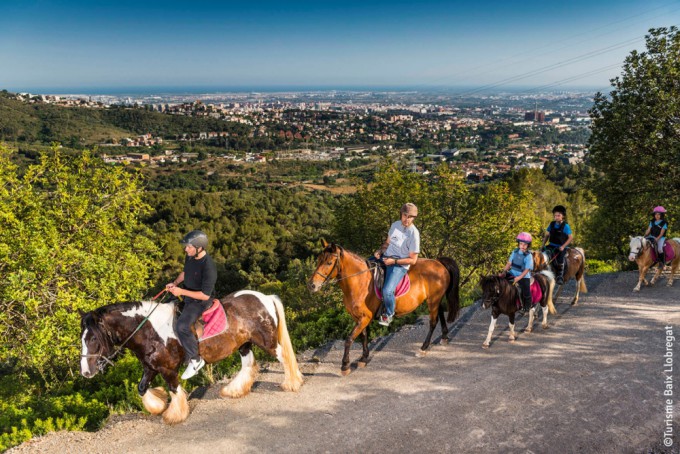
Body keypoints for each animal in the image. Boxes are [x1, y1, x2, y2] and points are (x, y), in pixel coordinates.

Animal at [80, 290, 302, 426]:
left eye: (93, 338)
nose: (86, 372)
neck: (148, 329)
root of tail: (265, 297)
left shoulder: (168, 369)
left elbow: (175, 390)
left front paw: (174, 415)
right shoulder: (150, 368)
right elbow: (141, 388)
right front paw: (158, 405)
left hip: (267, 342)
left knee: (284, 357)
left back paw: (292, 383)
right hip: (244, 344)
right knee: (248, 365)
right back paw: (234, 391)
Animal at [310, 239, 462, 374]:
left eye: (329, 262)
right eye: (318, 260)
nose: (312, 285)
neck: (360, 282)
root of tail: (438, 262)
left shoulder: (365, 317)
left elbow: (349, 339)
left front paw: (345, 366)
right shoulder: (358, 317)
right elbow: (363, 336)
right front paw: (363, 358)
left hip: (433, 300)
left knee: (433, 322)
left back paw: (424, 347)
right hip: (434, 299)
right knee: (440, 313)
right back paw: (444, 337)